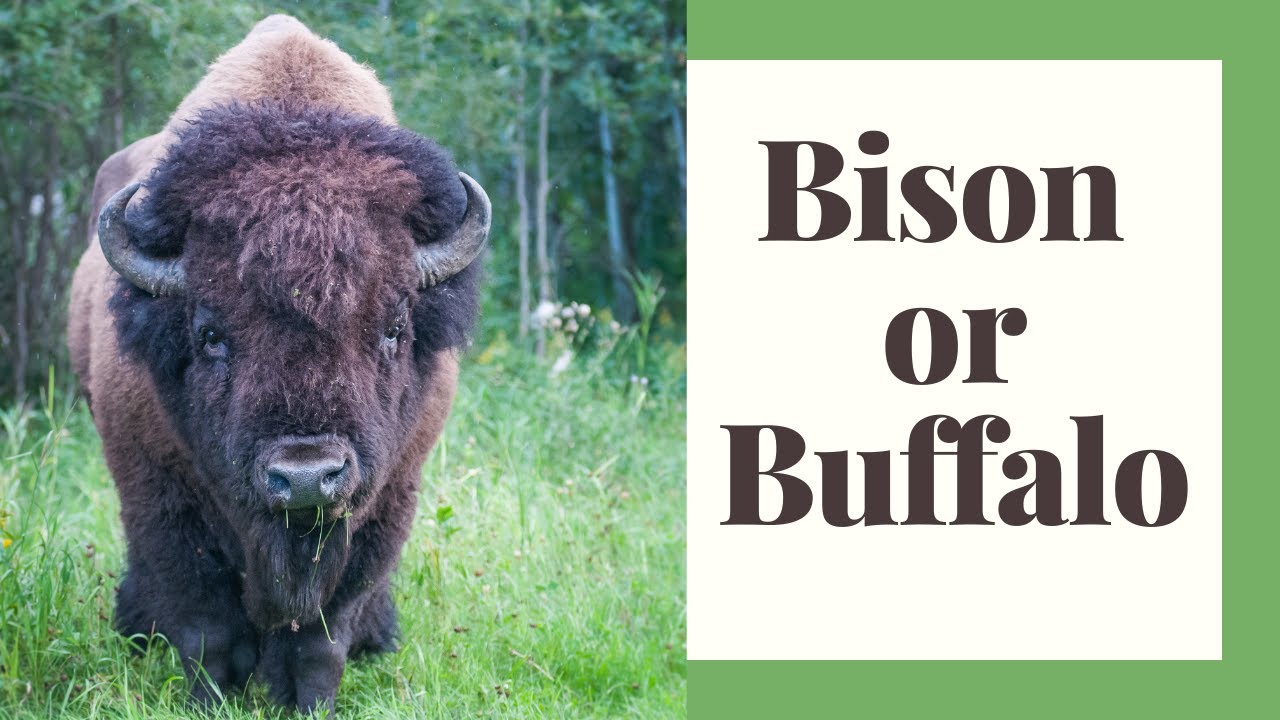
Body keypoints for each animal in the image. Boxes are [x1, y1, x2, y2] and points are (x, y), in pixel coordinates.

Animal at [67, 15, 488, 712]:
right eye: (210, 334)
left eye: (394, 328)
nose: (308, 477)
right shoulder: (158, 492)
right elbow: (205, 625)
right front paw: (208, 701)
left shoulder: (386, 502)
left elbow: (322, 637)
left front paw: (309, 702)